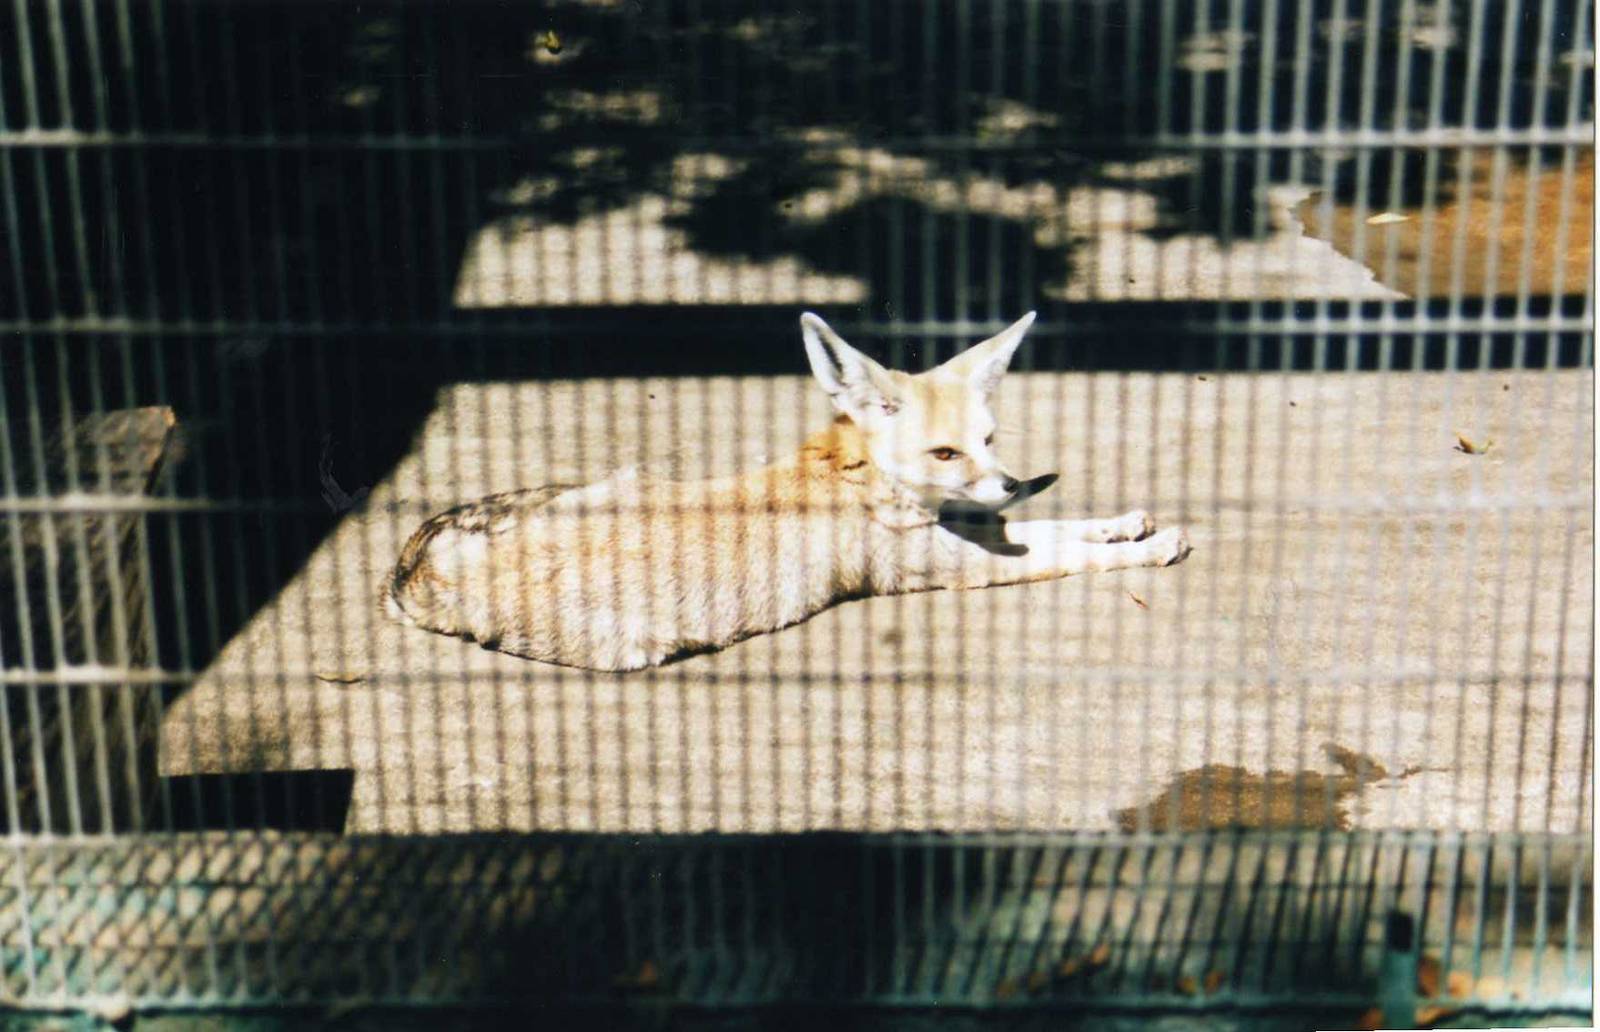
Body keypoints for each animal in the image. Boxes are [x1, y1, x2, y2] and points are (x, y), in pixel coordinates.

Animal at [385, 311, 1192, 672]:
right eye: (945, 452)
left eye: (990, 440)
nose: (1011, 483)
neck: (857, 479)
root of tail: (421, 572)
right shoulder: (953, 568)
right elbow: (1065, 555)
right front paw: (1147, 549)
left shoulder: (969, 532)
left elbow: (1054, 529)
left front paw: (1123, 522)